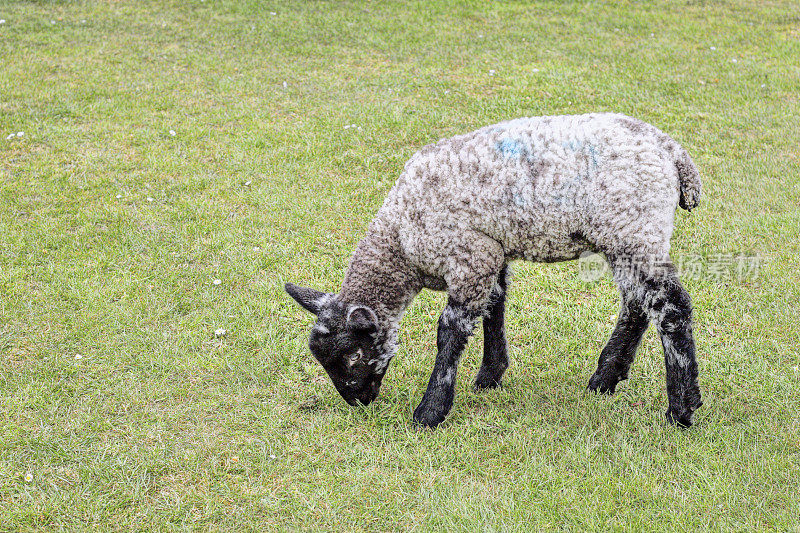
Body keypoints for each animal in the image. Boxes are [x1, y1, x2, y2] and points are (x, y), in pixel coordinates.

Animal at [286, 112, 700, 428]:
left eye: (353, 356)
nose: (356, 401)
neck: (400, 240)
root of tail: (673, 153)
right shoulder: (490, 254)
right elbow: (493, 310)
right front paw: (490, 375)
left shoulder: (469, 257)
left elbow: (450, 332)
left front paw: (430, 411)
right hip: (627, 238)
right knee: (637, 305)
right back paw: (605, 378)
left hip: (633, 228)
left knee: (672, 307)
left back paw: (682, 408)